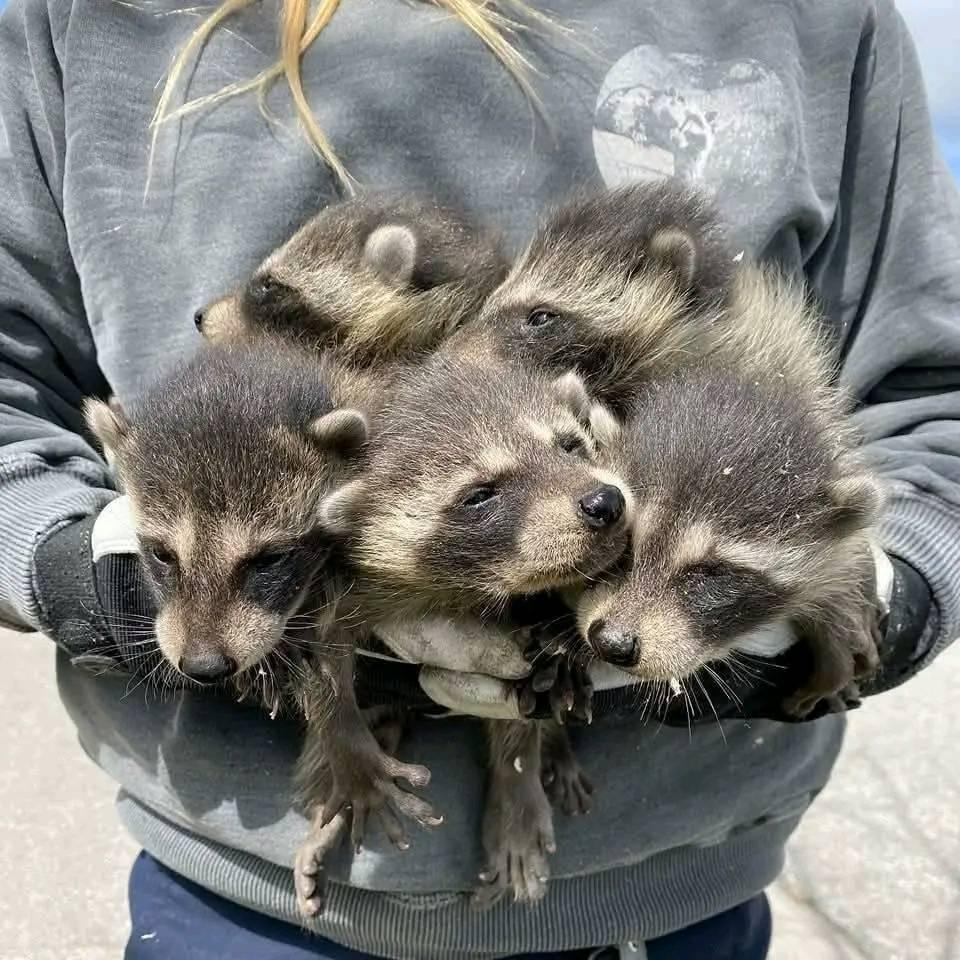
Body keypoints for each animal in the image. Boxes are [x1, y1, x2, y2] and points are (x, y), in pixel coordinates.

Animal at [320, 341, 634, 904]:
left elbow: (521, 714)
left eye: (571, 446)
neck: (464, 586)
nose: (606, 501)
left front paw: (518, 785)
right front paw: (350, 750)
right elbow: (317, 658)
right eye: (480, 494)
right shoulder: (340, 582)